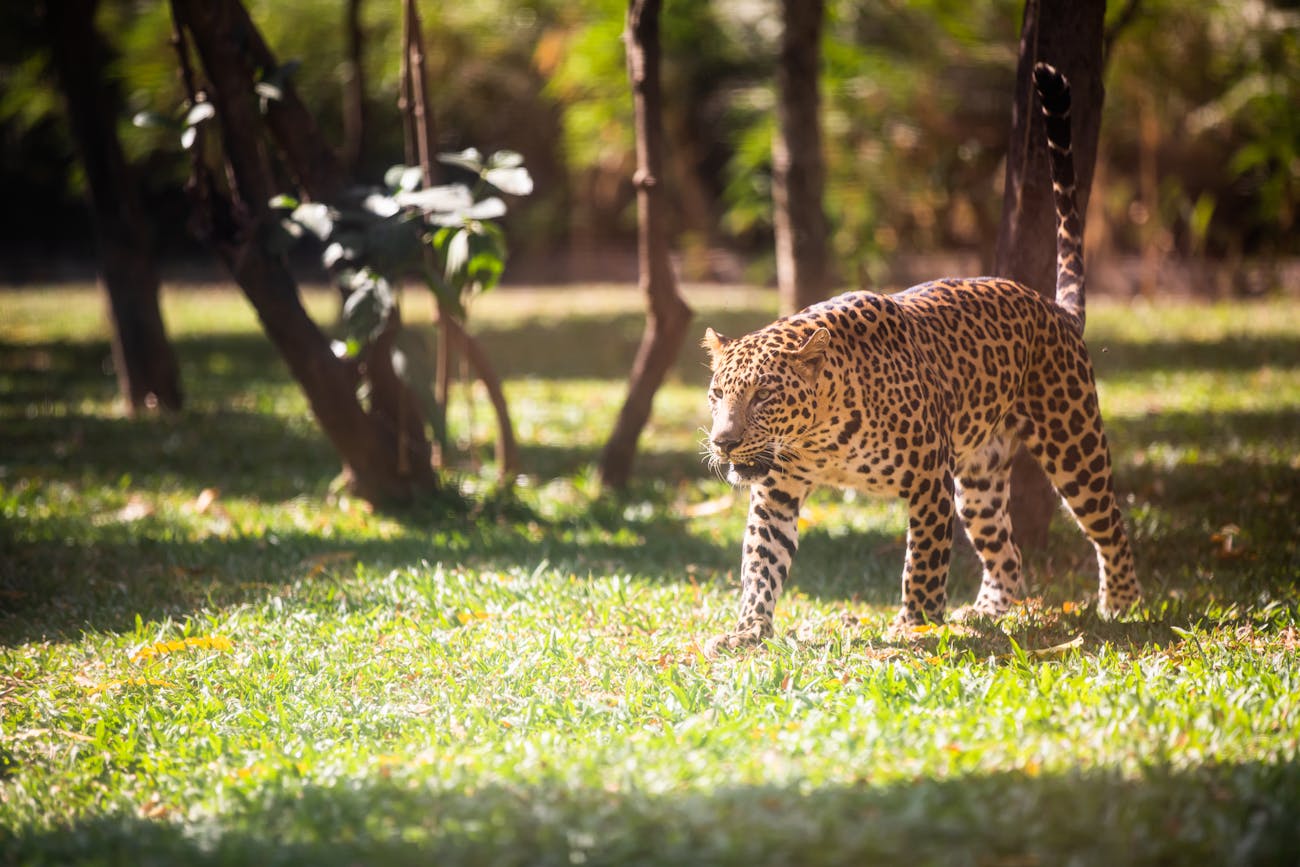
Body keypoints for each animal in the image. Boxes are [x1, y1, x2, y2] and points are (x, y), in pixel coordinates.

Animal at [702, 64, 1138, 655]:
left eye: (764, 394)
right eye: (716, 396)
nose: (723, 442)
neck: (819, 436)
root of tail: (1056, 310)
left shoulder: (928, 481)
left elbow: (923, 563)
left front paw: (915, 627)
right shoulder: (776, 492)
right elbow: (760, 565)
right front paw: (748, 630)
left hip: (1073, 445)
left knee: (1109, 522)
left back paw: (1121, 605)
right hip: (978, 483)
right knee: (1007, 552)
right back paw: (983, 614)